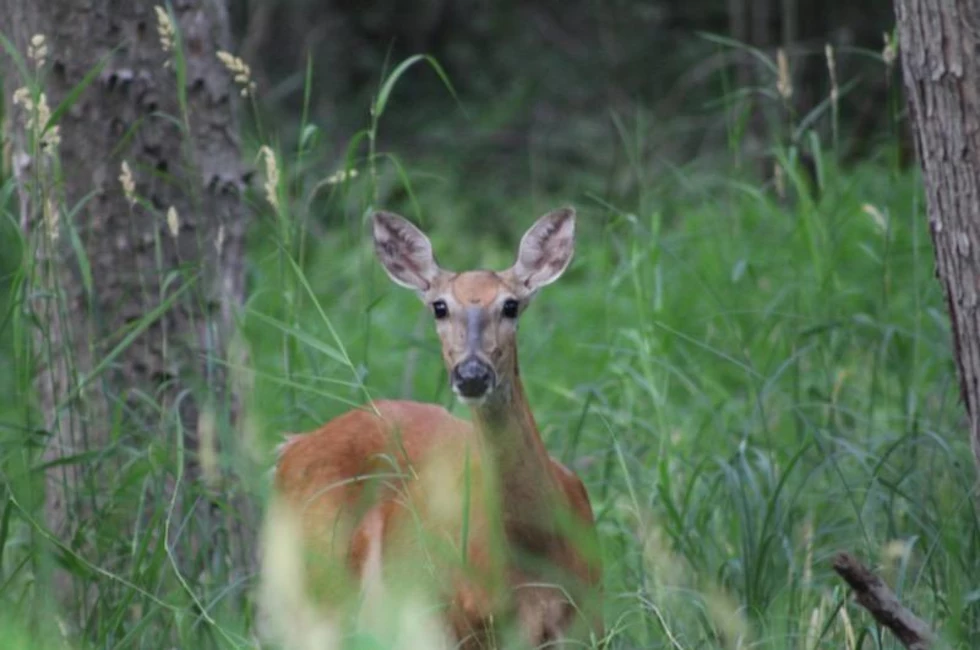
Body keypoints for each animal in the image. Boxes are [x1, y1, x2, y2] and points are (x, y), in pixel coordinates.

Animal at [256, 208, 600, 648]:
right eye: (439, 306)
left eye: (511, 305)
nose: (471, 374)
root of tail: (290, 447)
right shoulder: (465, 619)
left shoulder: (589, 617)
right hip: (309, 595)